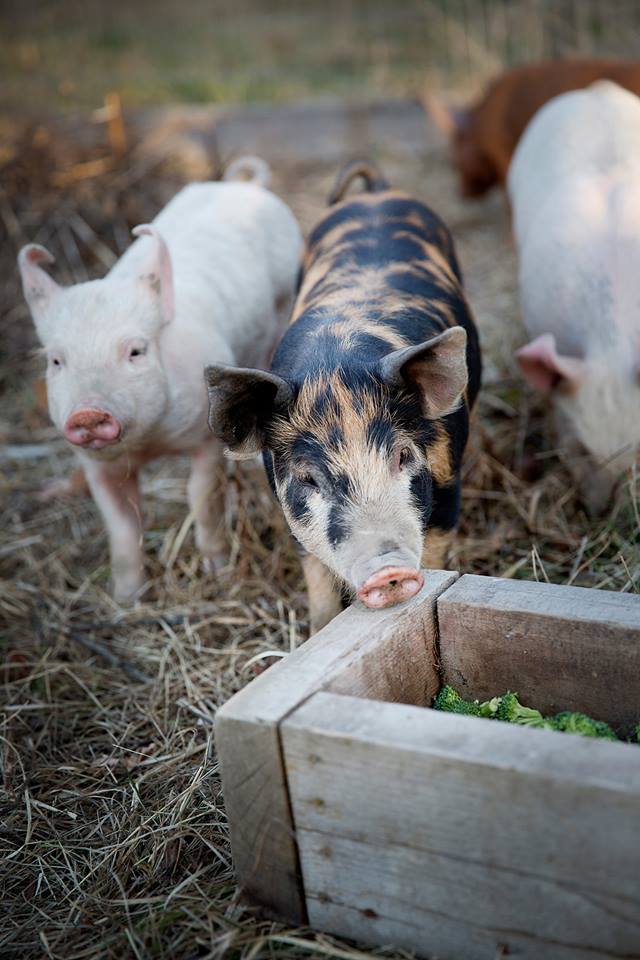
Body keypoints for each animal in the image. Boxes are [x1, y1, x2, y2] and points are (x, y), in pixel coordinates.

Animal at [17, 159, 302, 600]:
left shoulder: (206, 435)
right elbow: (121, 524)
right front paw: (125, 597)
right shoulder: (96, 465)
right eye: (56, 360)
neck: (149, 444)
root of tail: (242, 184)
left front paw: (218, 573)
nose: (87, 413)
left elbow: (202, 497)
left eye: (136, 351)